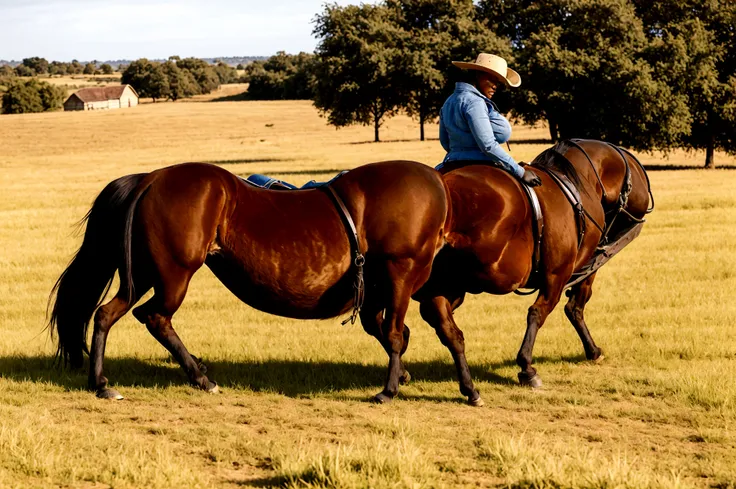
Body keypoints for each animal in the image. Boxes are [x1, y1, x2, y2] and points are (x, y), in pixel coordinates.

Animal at [49, 160, 448, 400]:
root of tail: (150, 179)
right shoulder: (400, 273)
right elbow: (394, 333)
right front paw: (389, 388)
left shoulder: (376, 292)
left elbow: (389, 330)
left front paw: (401, 376)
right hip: (173, 274)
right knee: (154, 317)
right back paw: (198, 378)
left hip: (146, 274)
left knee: (107, 313)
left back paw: (102, 382)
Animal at [416, 138, 652, 404]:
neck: (579, 181)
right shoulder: (559, 274)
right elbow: (550, 310)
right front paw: (529, 367)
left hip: (444, 288)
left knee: (446, 329)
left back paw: (461, 386)